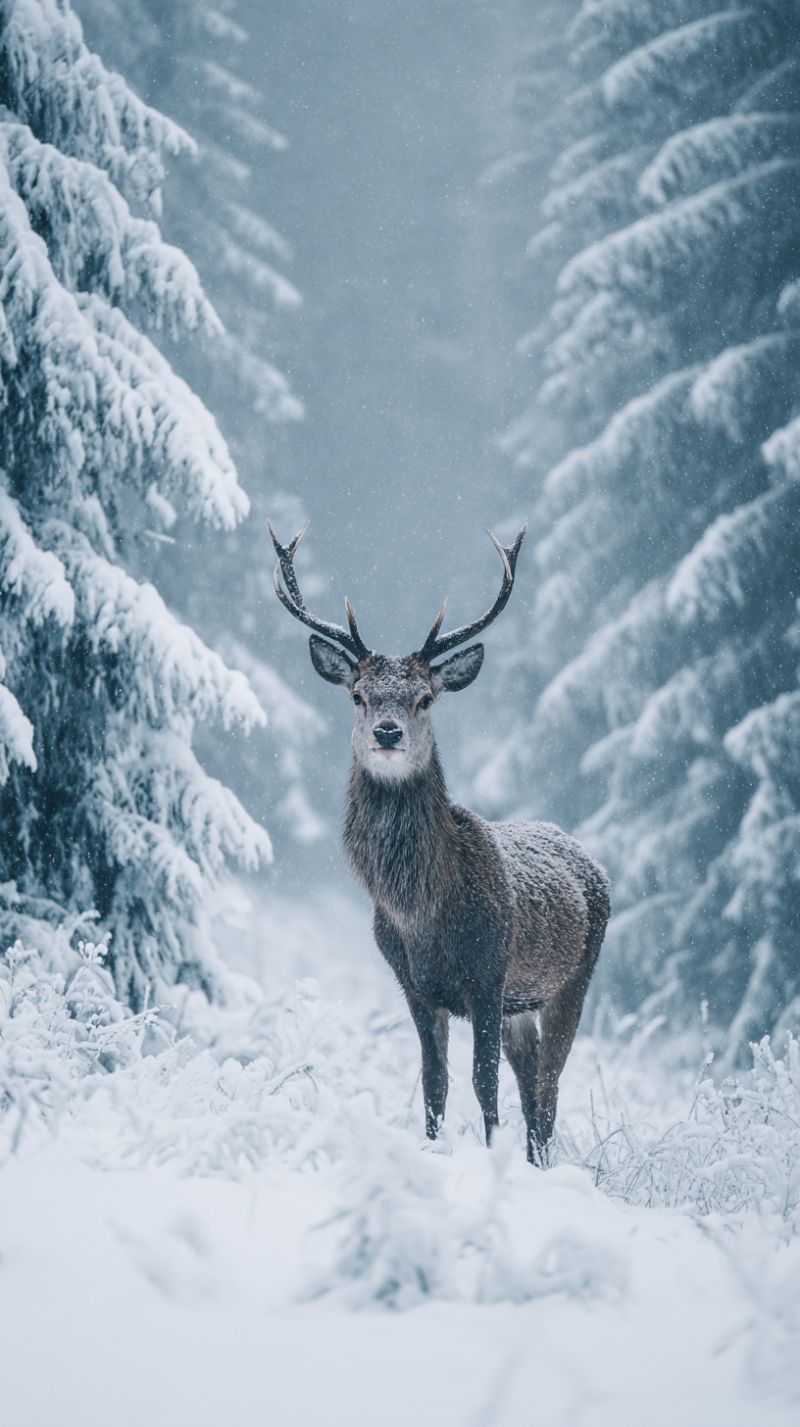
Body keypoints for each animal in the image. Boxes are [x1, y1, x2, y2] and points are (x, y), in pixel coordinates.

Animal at [269, 521, 610, 1162]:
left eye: (425, 697)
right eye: (358, 694)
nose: (387, 731)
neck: (421, 913)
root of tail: (590, 860)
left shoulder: (489, 973)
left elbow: (482, 1082)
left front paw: (490, 1156)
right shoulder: (414, 985)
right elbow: (435, 1082)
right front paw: (433, 1152)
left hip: (574, 977)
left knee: (549, 1082)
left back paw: (538, 1158)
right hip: (522, 1003)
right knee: (532, 1078)